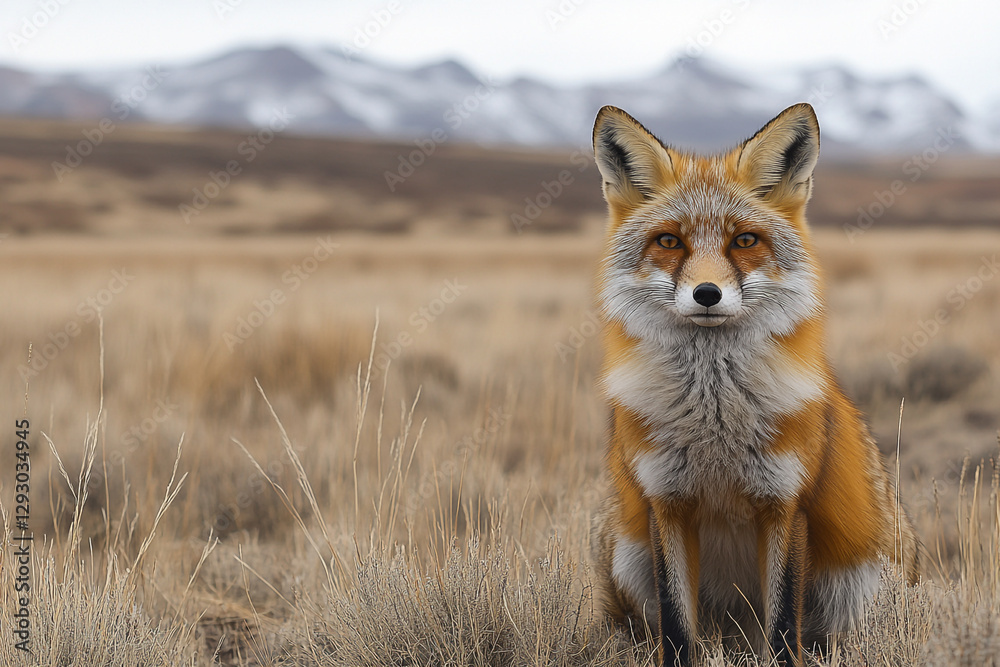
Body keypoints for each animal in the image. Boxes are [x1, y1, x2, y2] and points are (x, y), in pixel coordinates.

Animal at [590, 103, 919, 666]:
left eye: (744, 241)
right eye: (669, 241)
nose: (706, 293)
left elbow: (784, 627)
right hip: (627, 556)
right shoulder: (666, 504)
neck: (714, 422)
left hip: (861, 582)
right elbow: (677, 629)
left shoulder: (786, 504)